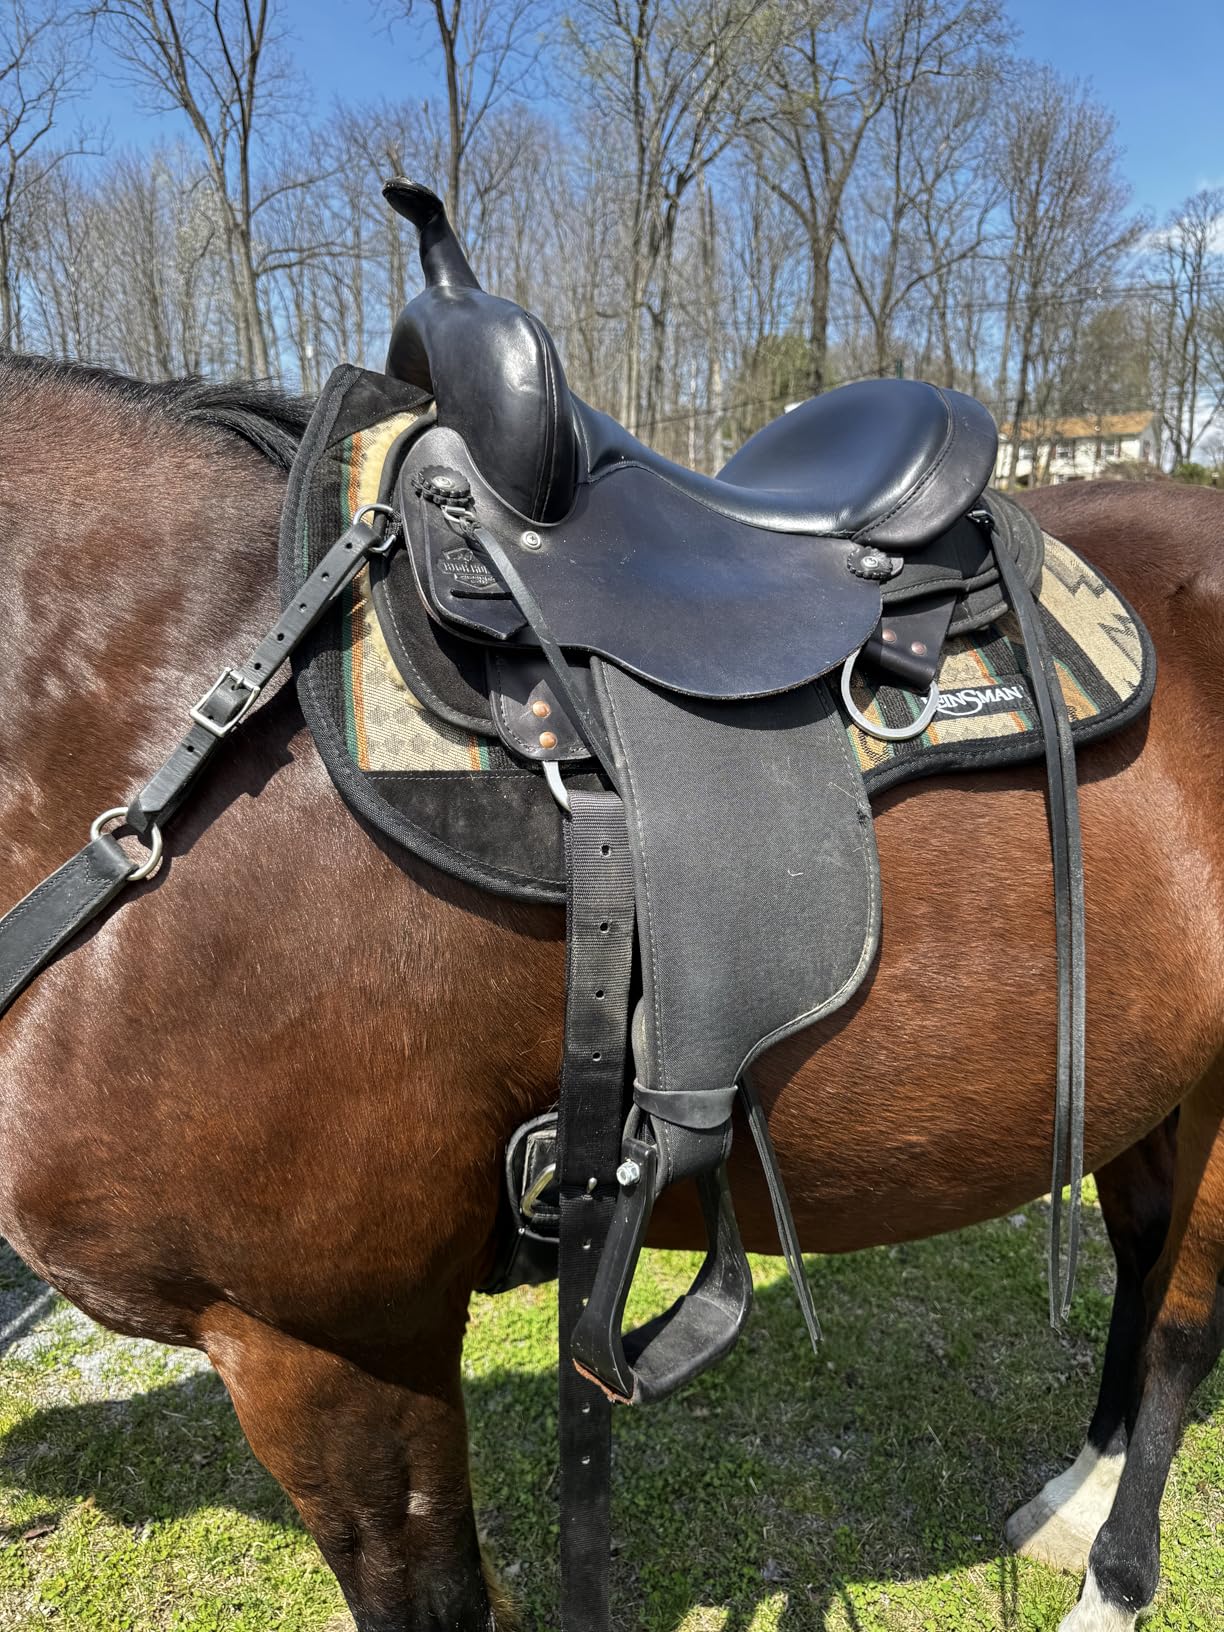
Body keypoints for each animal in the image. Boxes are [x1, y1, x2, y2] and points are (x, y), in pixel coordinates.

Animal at [0, 349, 1221, 1632]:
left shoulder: (327, 1344)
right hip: (1138, 1079)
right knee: (1142, 1250)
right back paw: (1078, 1492)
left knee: (1188, 1323)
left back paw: (1114, 1578)